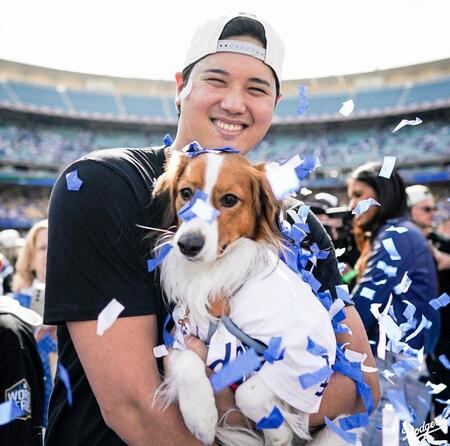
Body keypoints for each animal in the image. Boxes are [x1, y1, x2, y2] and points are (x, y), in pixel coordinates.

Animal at [151, 149, 356, 446]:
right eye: (186, 193)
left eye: (229, 200)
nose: (187, 245)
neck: (217, 274)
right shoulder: (181, 335)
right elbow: (185, 360)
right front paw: (200, 417)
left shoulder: (309, 354)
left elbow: (250, 391)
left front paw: (278, 429)